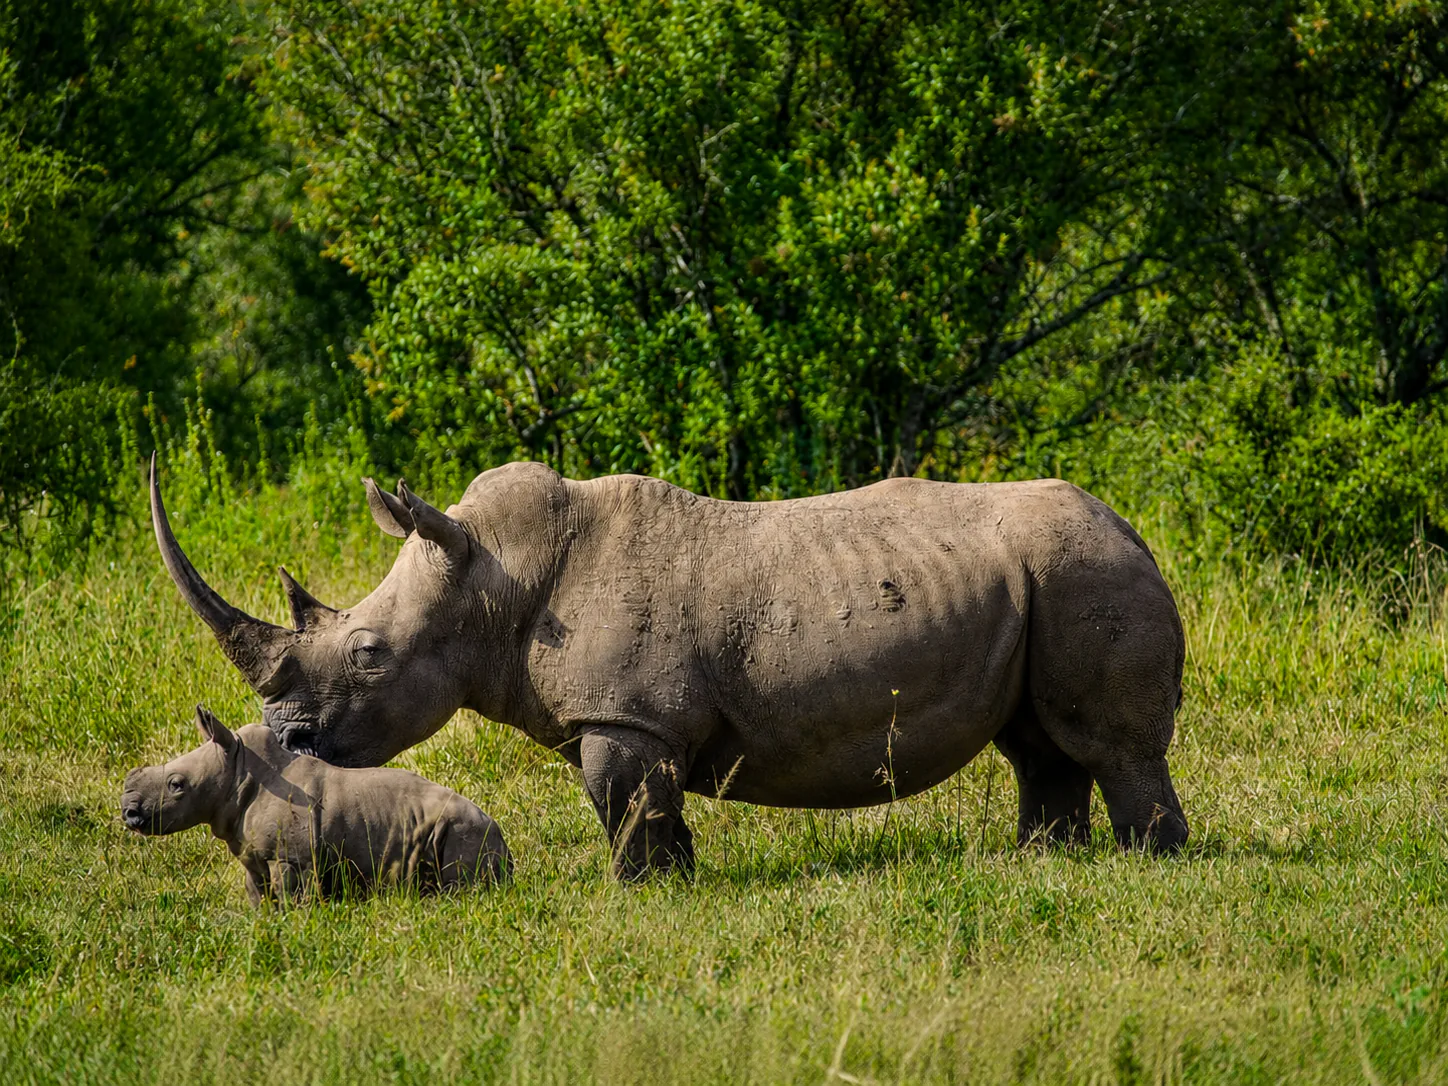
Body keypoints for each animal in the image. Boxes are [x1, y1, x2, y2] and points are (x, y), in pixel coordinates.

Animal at [121, 705, 511, 902]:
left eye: (176, 785)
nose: (129, 813)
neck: (238, 770)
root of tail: (502, 836)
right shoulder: (251, 851)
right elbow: (257, 893)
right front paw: (261, 923)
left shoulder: (290, 857)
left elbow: (292, 896)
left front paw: (295, 922)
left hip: (463, 826)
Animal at [149, 454, 1188, 879]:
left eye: (368, 655)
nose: (289, 738)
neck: (492, 577)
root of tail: (1133, 524)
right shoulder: (626, 719)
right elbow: (646, 804)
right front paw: (678, 884)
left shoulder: (627, 714)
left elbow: (624, 803)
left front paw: (637, 892)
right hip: (1040, 579)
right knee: (1038, 746)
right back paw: (1045, 862)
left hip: (1087, 567)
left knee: (1104, 744)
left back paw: (1150, 863)